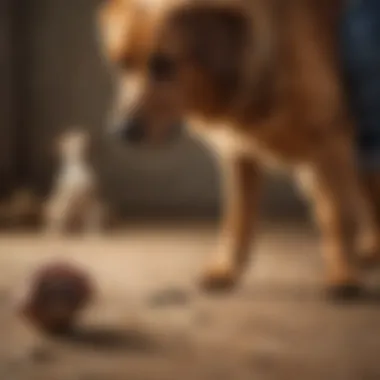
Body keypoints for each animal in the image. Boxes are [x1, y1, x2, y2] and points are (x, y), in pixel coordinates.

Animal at [97, 0, 380, 300]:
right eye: (121, 65)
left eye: (163, 64)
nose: (120, 131)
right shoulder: (240, 154)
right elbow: (237, 220)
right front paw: (226, 270)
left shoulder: (332, 144)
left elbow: (338, 216)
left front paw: (343, 273)